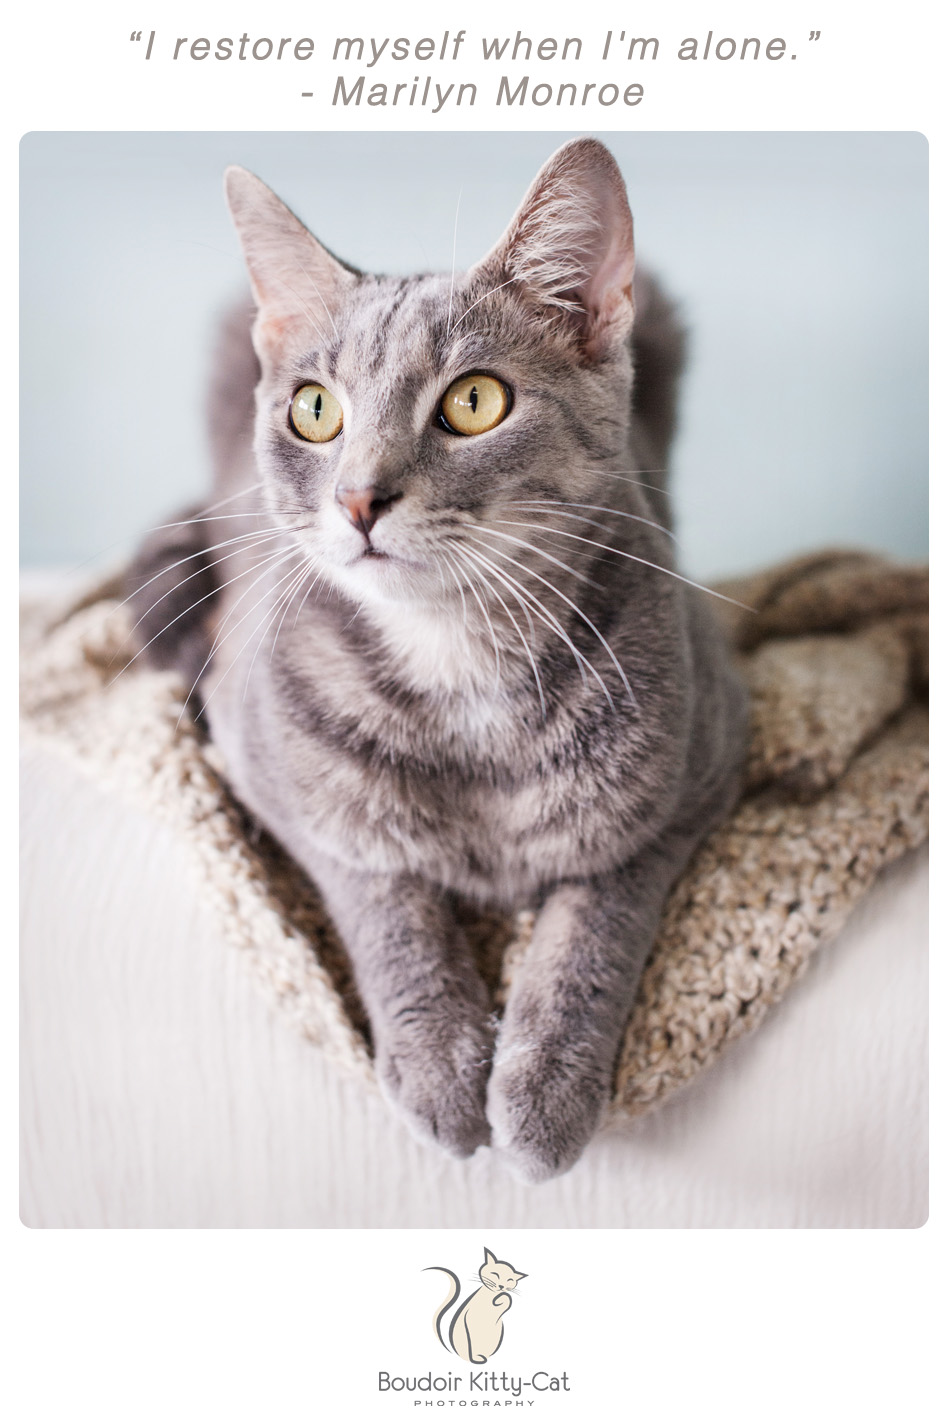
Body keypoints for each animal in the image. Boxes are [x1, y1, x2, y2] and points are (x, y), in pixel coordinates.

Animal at [127, 136, 747, 1180]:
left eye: (473, 399)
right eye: (314, 410)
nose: (357, 499)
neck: (459, 666)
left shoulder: (700, 773)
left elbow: (594, 924)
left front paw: (542, 1088)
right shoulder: (274, 782)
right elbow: (386, 900)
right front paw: (441, 1065)